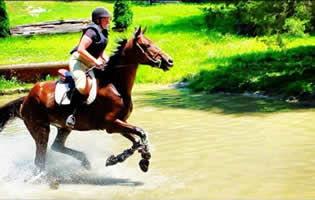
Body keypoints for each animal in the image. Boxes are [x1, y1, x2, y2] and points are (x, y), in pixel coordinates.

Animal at [0, 27, 173, 174]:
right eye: (147, 45)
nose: (169, 61)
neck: (115, 84)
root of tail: (26, 98)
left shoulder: (120, 122)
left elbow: (137, 139)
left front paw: (121, 159)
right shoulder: (110, 124)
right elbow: (141, 133)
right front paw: (142, 160)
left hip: (63, 127)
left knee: (57, 147)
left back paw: (84, 161)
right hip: (40, 128)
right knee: (40, 158)